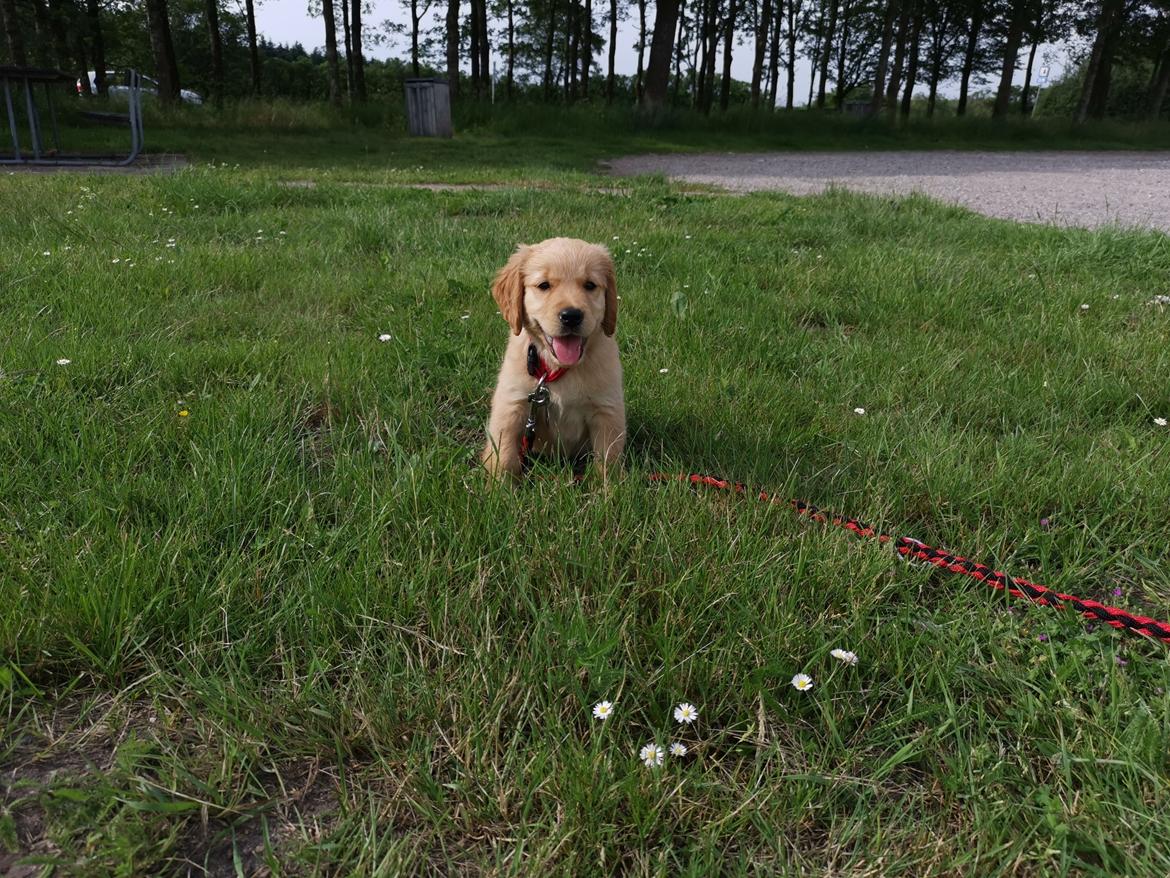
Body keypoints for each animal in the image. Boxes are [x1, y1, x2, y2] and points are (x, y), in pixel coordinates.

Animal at [479, 238, 627, 482]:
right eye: (544, 285)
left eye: (590, 285)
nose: (571, 316)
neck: (559, 367)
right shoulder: (511, 405)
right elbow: (505, 454)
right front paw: (499, 488)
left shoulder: (607, 410)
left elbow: (608, 460)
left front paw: (609, 490)